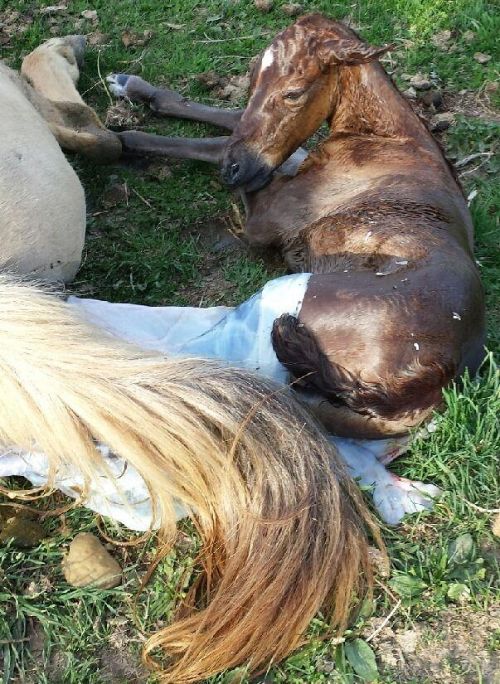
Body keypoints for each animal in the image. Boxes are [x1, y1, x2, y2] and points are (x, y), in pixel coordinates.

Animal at [108, 14, 484, 438]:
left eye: (294, 93)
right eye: (252, 78)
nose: (235, 170)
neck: (384, 139)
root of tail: (428, 383)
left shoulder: (263, 214)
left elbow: (213, 144)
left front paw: (118, 137)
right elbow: (233, 119)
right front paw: (132, 86)